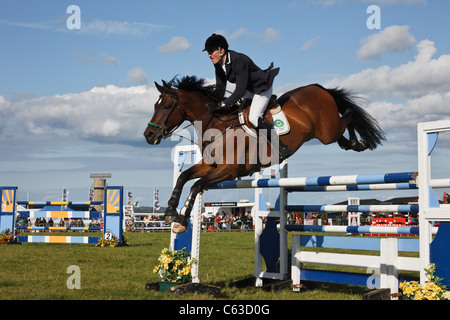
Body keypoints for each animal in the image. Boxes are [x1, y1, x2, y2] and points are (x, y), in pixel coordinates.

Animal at [144, 76, 386, 234]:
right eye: (155, 105)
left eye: (166, 106)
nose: (148, 135)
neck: (218, 126)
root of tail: (318, 88)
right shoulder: (209, 166)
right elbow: (184, 177)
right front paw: (171, 211)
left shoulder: (228, 171)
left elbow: (196, 185)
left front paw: (182, 218)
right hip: (325, 132)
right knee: (343, 129)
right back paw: (352, 143)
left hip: (327, 131)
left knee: (348, 114)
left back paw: (358, 142)